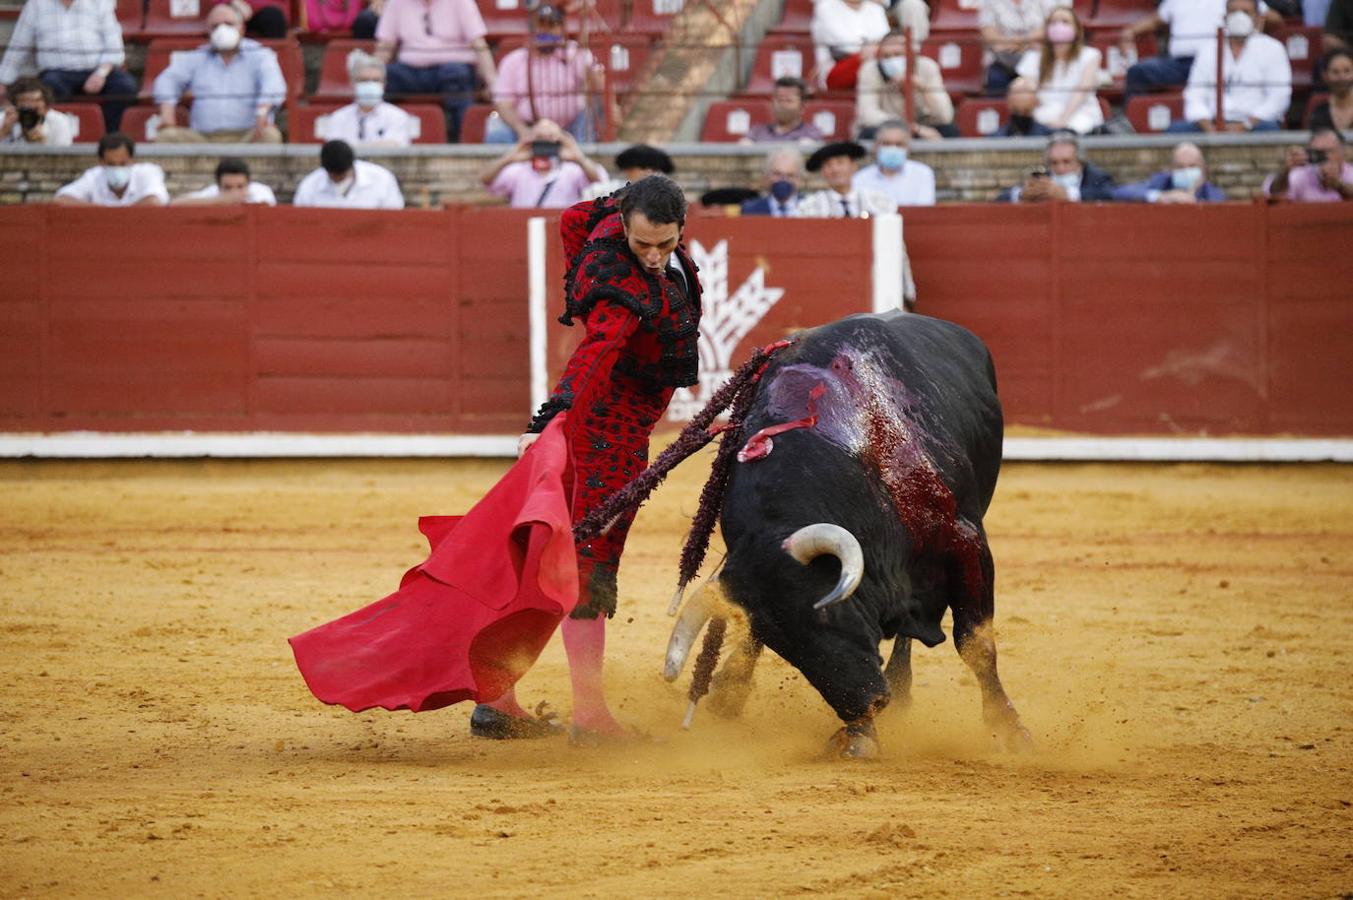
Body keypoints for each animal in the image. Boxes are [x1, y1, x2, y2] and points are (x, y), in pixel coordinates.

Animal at [671, 312, 1028, 752]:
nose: (866, 703)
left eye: (828, 614)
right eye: (784, 648)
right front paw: (860, 735)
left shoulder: (967, 542)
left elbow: (975, 642)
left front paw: (1010, 730)